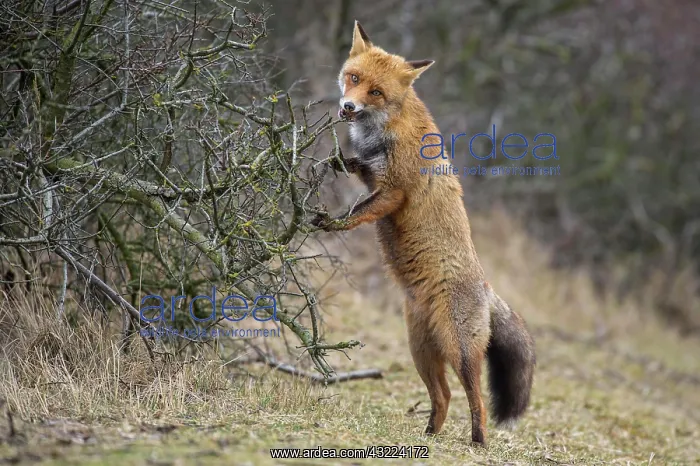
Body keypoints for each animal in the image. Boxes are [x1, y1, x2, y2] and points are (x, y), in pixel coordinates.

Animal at [311, 21, 536, 446]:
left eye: (376, 93)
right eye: (354, 79)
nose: (348, 108)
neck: (385, 129)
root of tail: (485, 286)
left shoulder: (394, 192)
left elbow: (355, 214)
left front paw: (331, 223)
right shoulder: (374, 176)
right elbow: (357, 166)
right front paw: (337, 161)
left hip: (458, 351)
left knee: (476, 400)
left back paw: (478, 441)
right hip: (420, 351)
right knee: (443, 397)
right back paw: (429, 435)